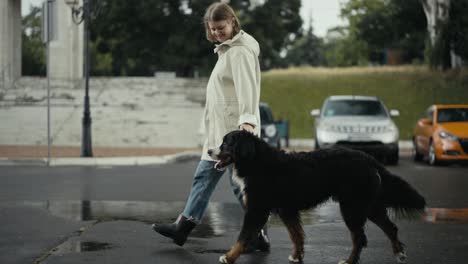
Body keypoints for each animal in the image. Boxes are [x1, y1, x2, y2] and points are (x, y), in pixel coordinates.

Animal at [210, 131, 426, 264]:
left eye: (226, 143)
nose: (209, 150)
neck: (256, 161)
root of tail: (368, 158)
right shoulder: (287, 210)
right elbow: (296, 235)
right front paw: (297, 256)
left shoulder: (257, 210)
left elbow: (243, 236)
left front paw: (228, 257)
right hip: (367, 206)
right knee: (390, 227)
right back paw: (399, 253)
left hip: (352, 208)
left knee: (359, 238)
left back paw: (348, 261)